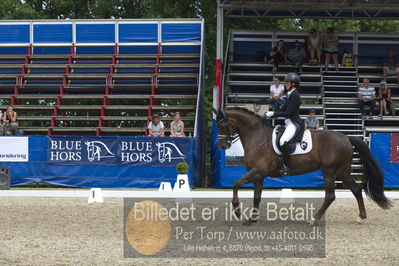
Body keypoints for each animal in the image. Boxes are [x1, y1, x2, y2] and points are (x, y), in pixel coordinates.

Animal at [214, 108, 392, 224]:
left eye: (222, 126)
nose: (222, 146)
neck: (257, 138)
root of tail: (347, 138)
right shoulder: (259, 175)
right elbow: (256, 197)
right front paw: (251, 219)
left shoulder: (257, 171)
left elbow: (235, 184)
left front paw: (237, 211)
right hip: (342, 172)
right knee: (356, 190)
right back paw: (361, 217)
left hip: (329, 171)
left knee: (330, 195)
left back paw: (314, 220)